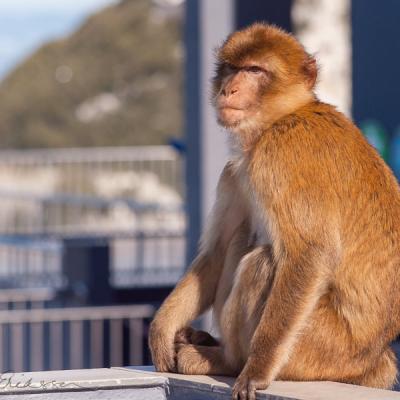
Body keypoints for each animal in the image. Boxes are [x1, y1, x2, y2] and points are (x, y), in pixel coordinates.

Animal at [148, 22, 400, 400]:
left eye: (255, 70)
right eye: (232, 68)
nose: (228, 89)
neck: (283, 116)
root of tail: (373, 359)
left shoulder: (280, 155)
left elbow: (310, 254)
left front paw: (256, 369)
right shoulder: (235, 173)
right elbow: (217, 252)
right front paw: (162, 329)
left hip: (318, 349)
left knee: (262, 263)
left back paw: (225, 360)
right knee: (241, 241)